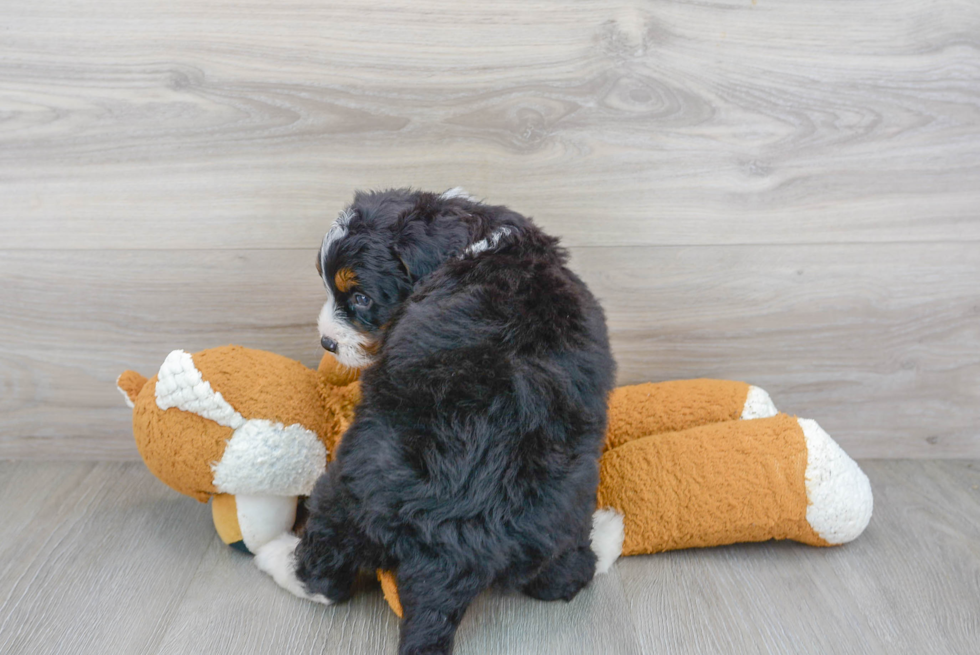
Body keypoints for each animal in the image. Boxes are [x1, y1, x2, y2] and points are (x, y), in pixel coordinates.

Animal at [255, 187, 620, 652]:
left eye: (360, 298)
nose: (327, 342)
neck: (475, 244)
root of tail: (453, 543)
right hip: (565, 500)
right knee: (566, 576)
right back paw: (608, 533)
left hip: (342, 489)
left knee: (323, 576)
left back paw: (274, 555)